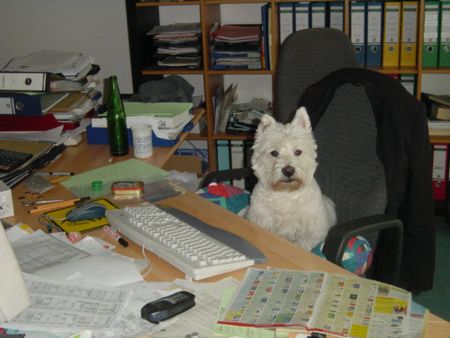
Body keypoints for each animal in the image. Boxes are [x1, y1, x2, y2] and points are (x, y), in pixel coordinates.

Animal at [246, 107, 338, 251]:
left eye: (298, 151)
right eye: (274, 153)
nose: (288, 170)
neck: (286, 192)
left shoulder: (314, 228)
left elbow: (303, 242)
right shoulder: (259, 218)